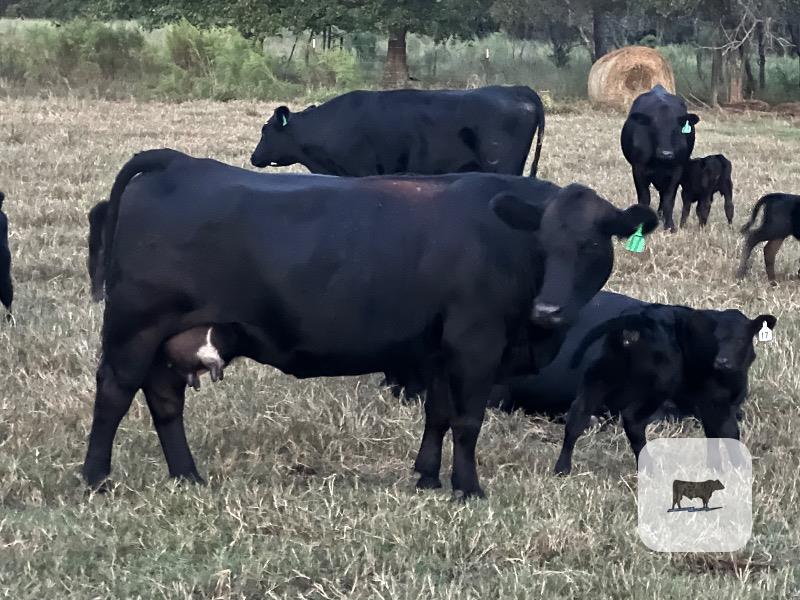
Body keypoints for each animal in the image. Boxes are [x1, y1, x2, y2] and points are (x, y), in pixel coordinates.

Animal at [82, 148, 657, 499]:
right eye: (542, 242)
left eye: (590, 245)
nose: (549, 310)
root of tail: (179, 163)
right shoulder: (476, 343)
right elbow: (468, 420)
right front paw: (468, 488)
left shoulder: (438, 348)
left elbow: (438, 414)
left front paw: (427, 477)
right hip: (135, 329)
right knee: (114, 394)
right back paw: (96, 478)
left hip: (167, 338)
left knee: (164, 400)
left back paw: (187, 475)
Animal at [552, 302, 776, 475]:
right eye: (716, 338)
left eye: (740, 339)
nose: (722, 362)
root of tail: (636, 319)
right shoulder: (716, 400)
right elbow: (729, 432)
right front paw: (739, 468)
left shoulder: (710, 404)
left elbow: (714, 433)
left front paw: (716, 467)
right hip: (657, 385)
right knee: (633, 420)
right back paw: (649, 469)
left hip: (602, 373)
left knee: (578, 415)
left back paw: (562, 469)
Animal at [621, 85, 700, 232]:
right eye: (653, 128)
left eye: (676, 129)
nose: (666, 153)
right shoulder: (638, 168)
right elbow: (644, 197)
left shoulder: (677, 170)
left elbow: (669, 199)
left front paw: (670, 226)